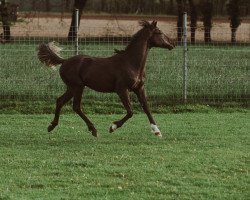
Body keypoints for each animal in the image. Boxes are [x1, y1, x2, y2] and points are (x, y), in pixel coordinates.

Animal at [37, 20, 176, 138]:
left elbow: (146, 108)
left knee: (60, 101)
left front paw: (157, 131)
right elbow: (130, 111)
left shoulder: (139, 88)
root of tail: (64, 61)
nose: (172, 44)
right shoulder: (121, 90)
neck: (131, 63)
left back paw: (51, 126)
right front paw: (112, 127)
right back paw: (93, 130)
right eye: (159, 32)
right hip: (78, 86)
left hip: (72, 87)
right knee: (76, 106)